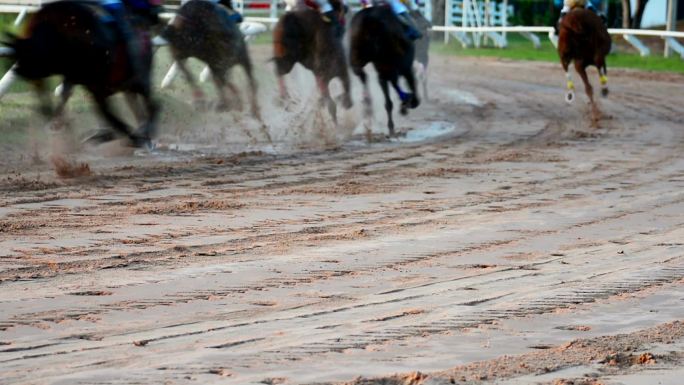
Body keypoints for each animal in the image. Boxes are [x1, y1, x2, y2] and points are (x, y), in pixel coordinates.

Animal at [350, 3, 420, 140]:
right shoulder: (404, 67)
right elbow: (410, 90)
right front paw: (407, 103)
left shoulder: (384, 70)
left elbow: (389, 101)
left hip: (358, 57)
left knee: (362, 74)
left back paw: (368, 106)